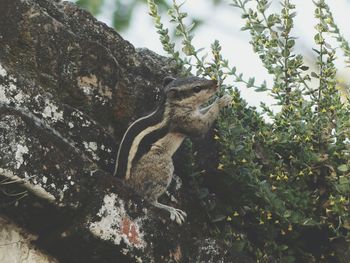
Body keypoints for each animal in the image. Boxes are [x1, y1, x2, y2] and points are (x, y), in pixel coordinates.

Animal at [113, 76, 231, 225]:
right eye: (197, 88)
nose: (216, 83)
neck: (171, 105)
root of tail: (124, 181)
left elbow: (203, 111)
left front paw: (226, 97)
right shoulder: (184, 120)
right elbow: (201, 127)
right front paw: (220, 102)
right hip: (162, 164)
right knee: (148, 198)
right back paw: (170, 209)